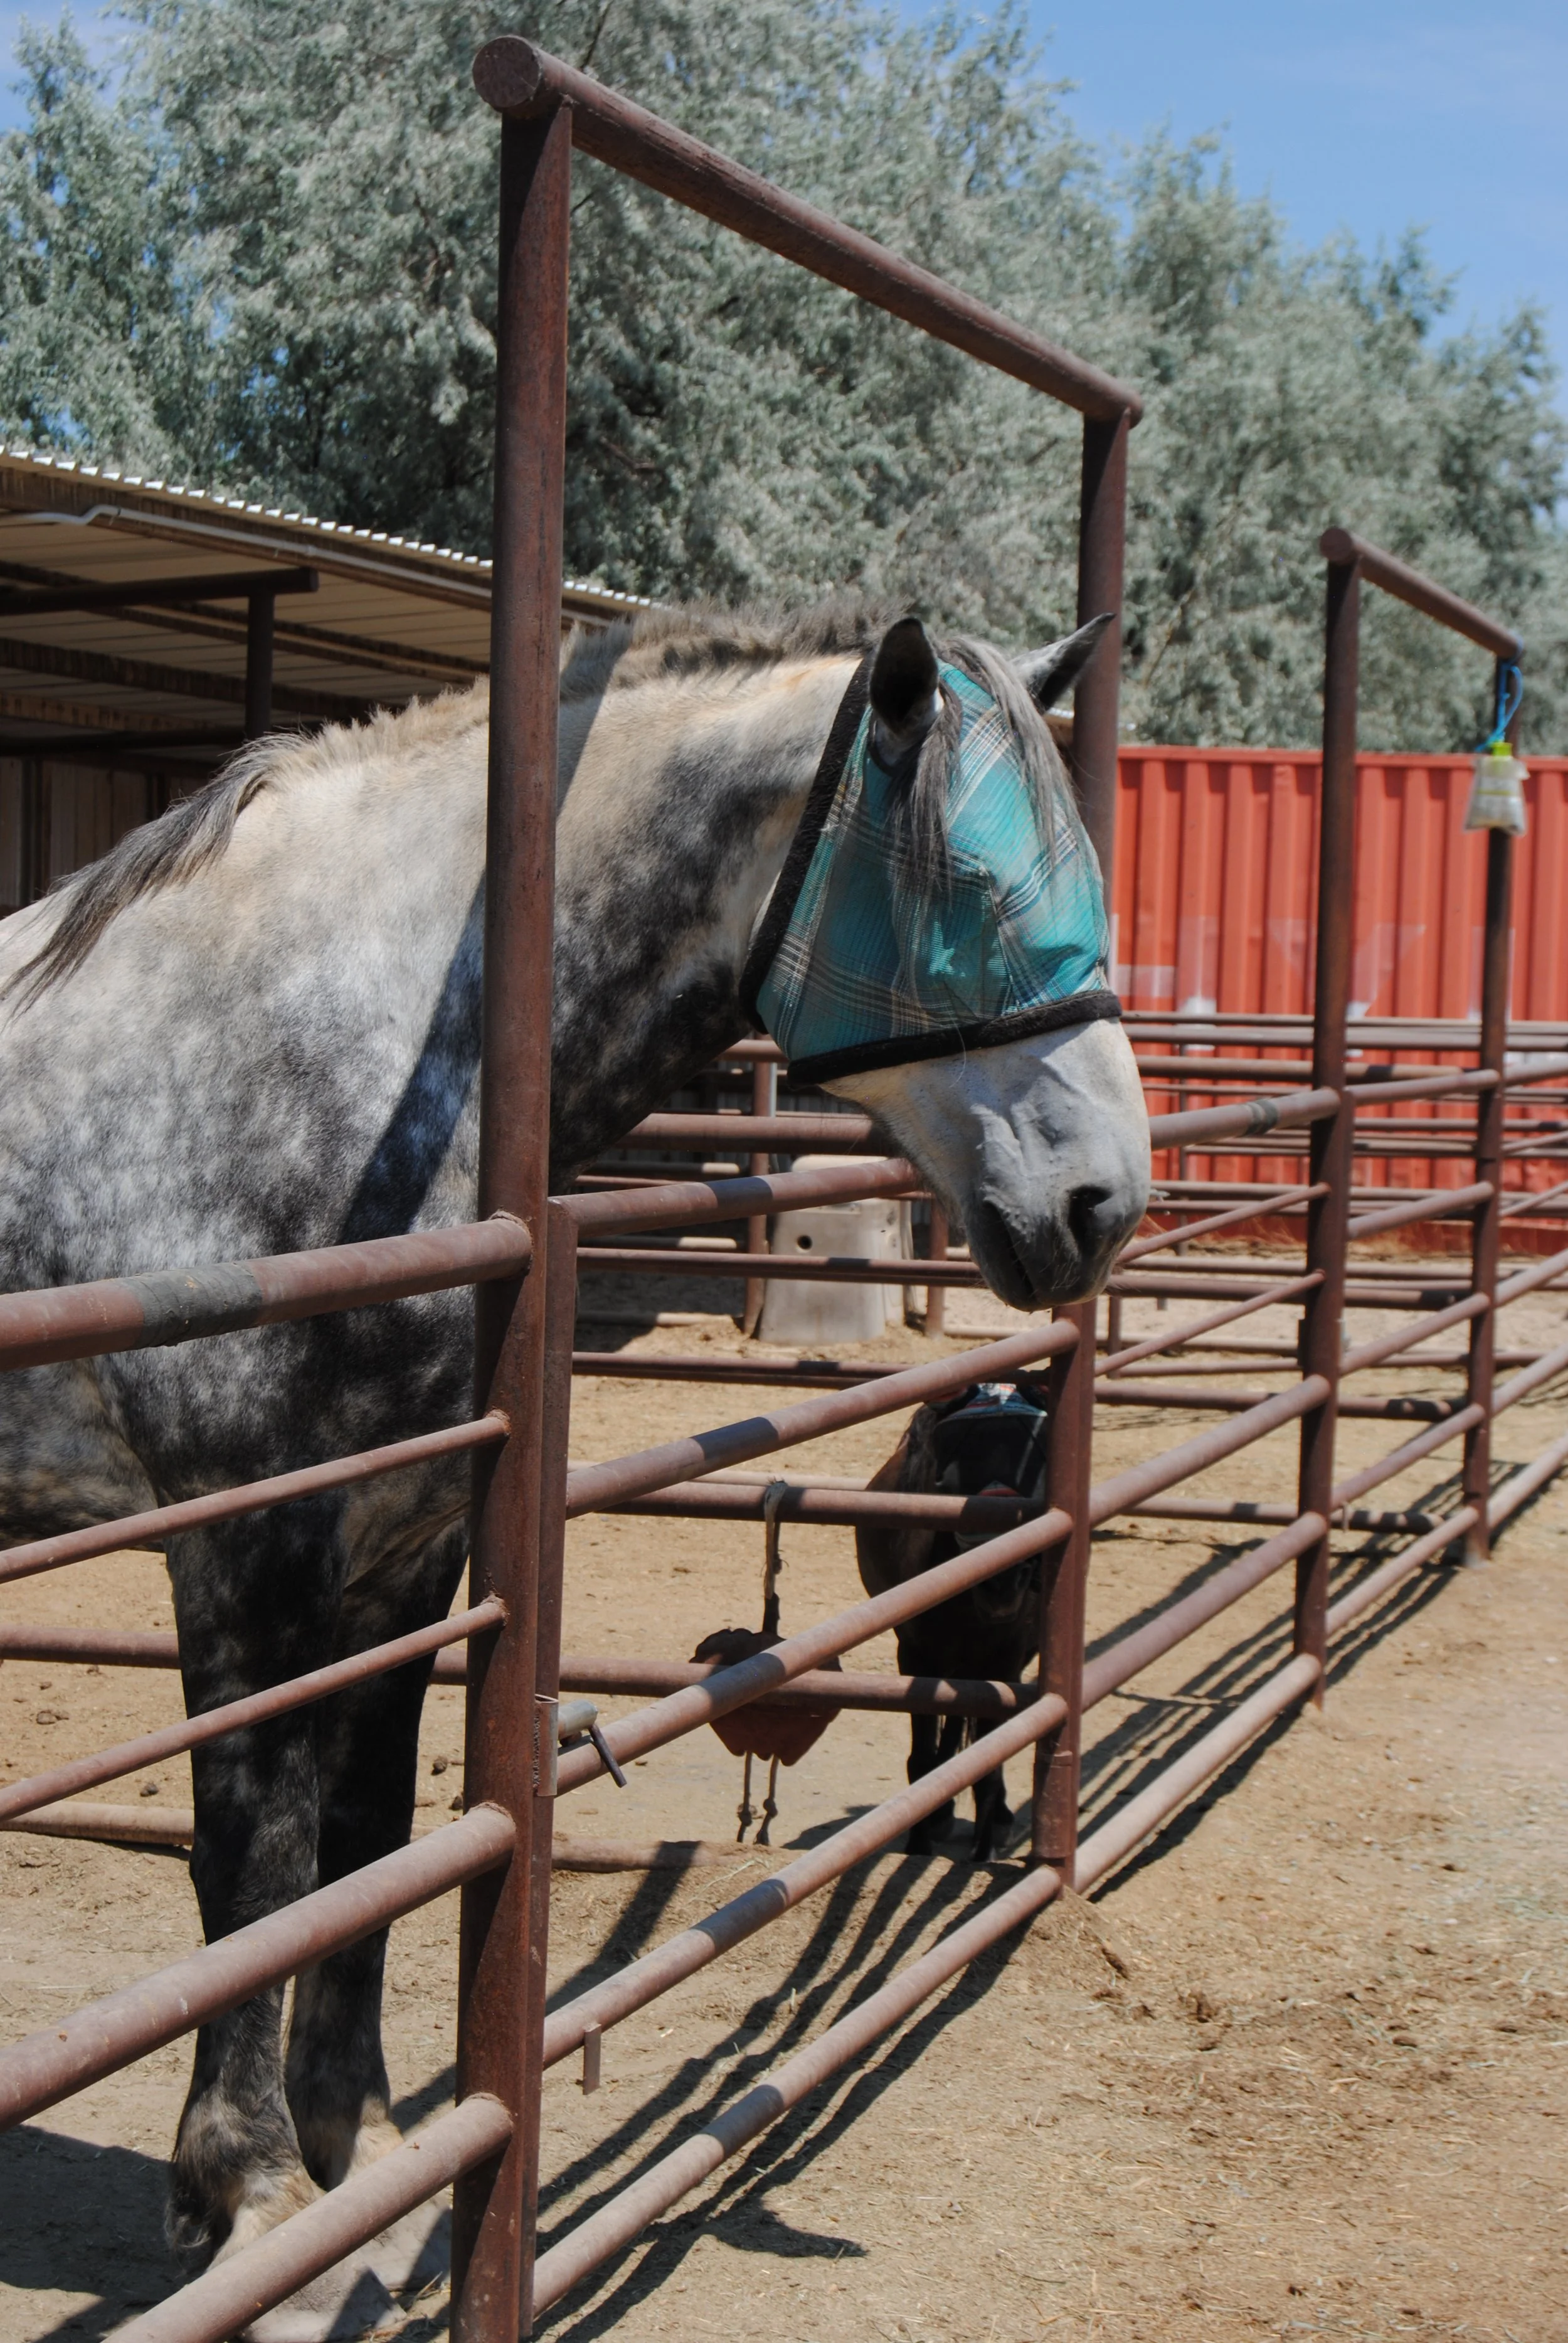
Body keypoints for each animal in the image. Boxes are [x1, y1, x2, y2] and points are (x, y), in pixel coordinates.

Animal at [857, 1377, 1053, 1860]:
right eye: (950, 1474)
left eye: (1040, 1456)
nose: (1004, 1585)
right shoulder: (917, 1658)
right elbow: (923, 1760)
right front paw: (918, 1843)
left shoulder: (1003, 1663)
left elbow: (988, 1769)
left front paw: (983, 1855)